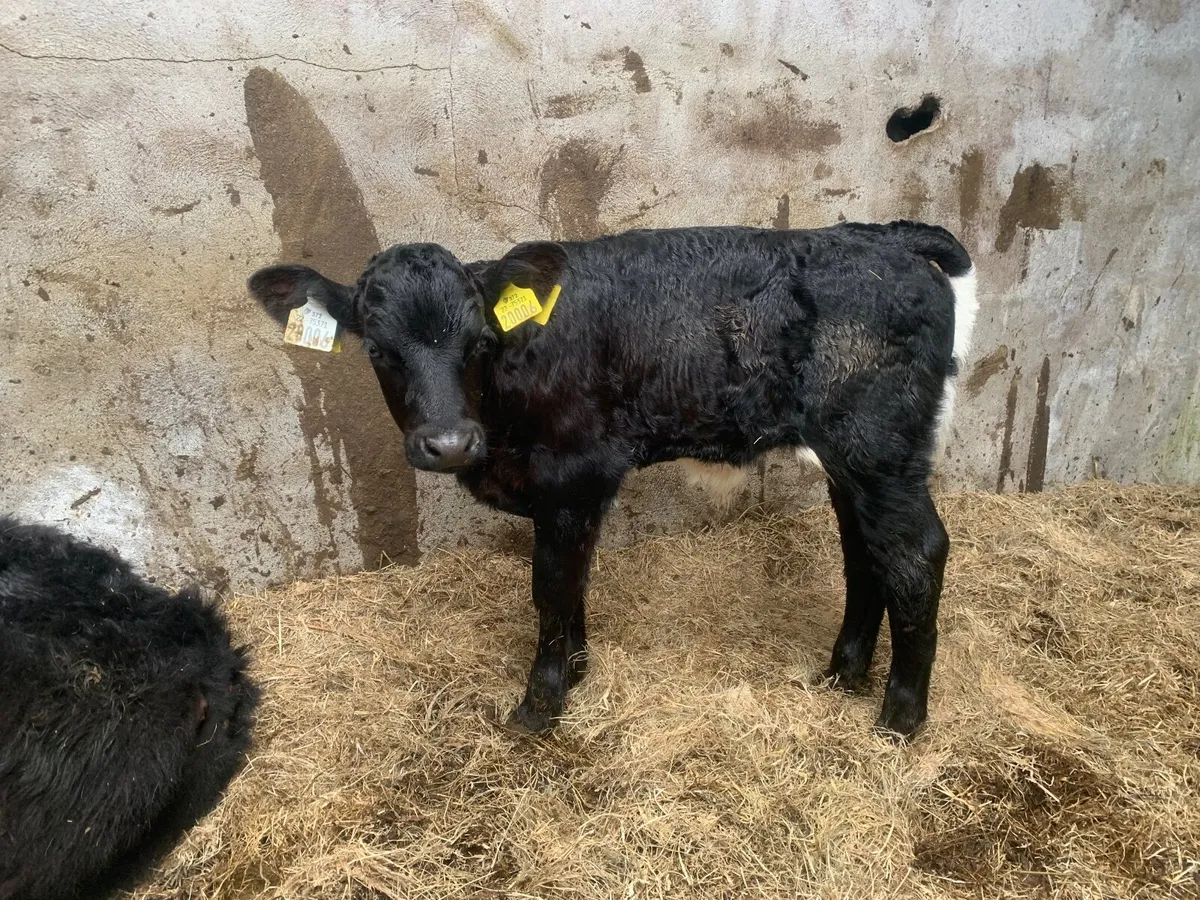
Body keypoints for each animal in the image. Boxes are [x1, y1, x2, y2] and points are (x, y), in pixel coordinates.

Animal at [248, 221, 976, 740]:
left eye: (480, 341)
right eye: (376, 349)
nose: (450, 442)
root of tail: (884, 235)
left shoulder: (576, 473)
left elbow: (551, 586)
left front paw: (540, 704)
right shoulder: (566, 493)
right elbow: (572, 582)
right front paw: (574, 670)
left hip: (879, 445)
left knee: (915, 554)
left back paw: (900, 719)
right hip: (850, 459)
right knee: (865, 553)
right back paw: (842, 676)